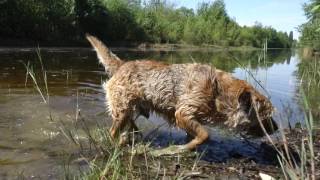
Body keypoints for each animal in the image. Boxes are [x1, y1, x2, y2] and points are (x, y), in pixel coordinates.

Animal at [85, 34, 278, 153]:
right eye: (265, 116)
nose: (276, 128)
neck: (218, 92)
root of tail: (122, 65)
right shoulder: (184, 112)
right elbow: (204, 134)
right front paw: (187, 147)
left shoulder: (191, 118)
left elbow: (196, 132)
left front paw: (189, 143)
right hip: (122, 109)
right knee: (112, 131)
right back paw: (117, 145)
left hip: (133, 109)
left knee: (130, 125)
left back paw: (132, 137)